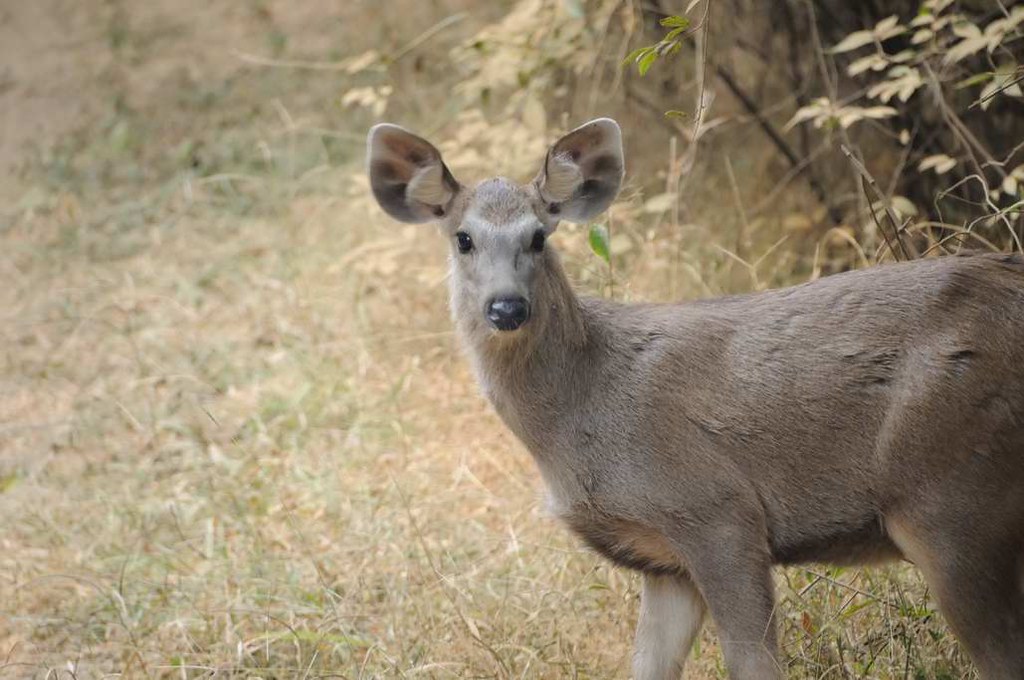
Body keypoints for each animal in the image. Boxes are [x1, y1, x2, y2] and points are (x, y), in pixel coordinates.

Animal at [366, 117, 1024, 679]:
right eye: (463, 239)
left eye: (537, 236)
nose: (507, 307)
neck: (582, 413)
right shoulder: (663, 560)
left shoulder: (717, 511)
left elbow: (754, 665)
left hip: (951, 486)